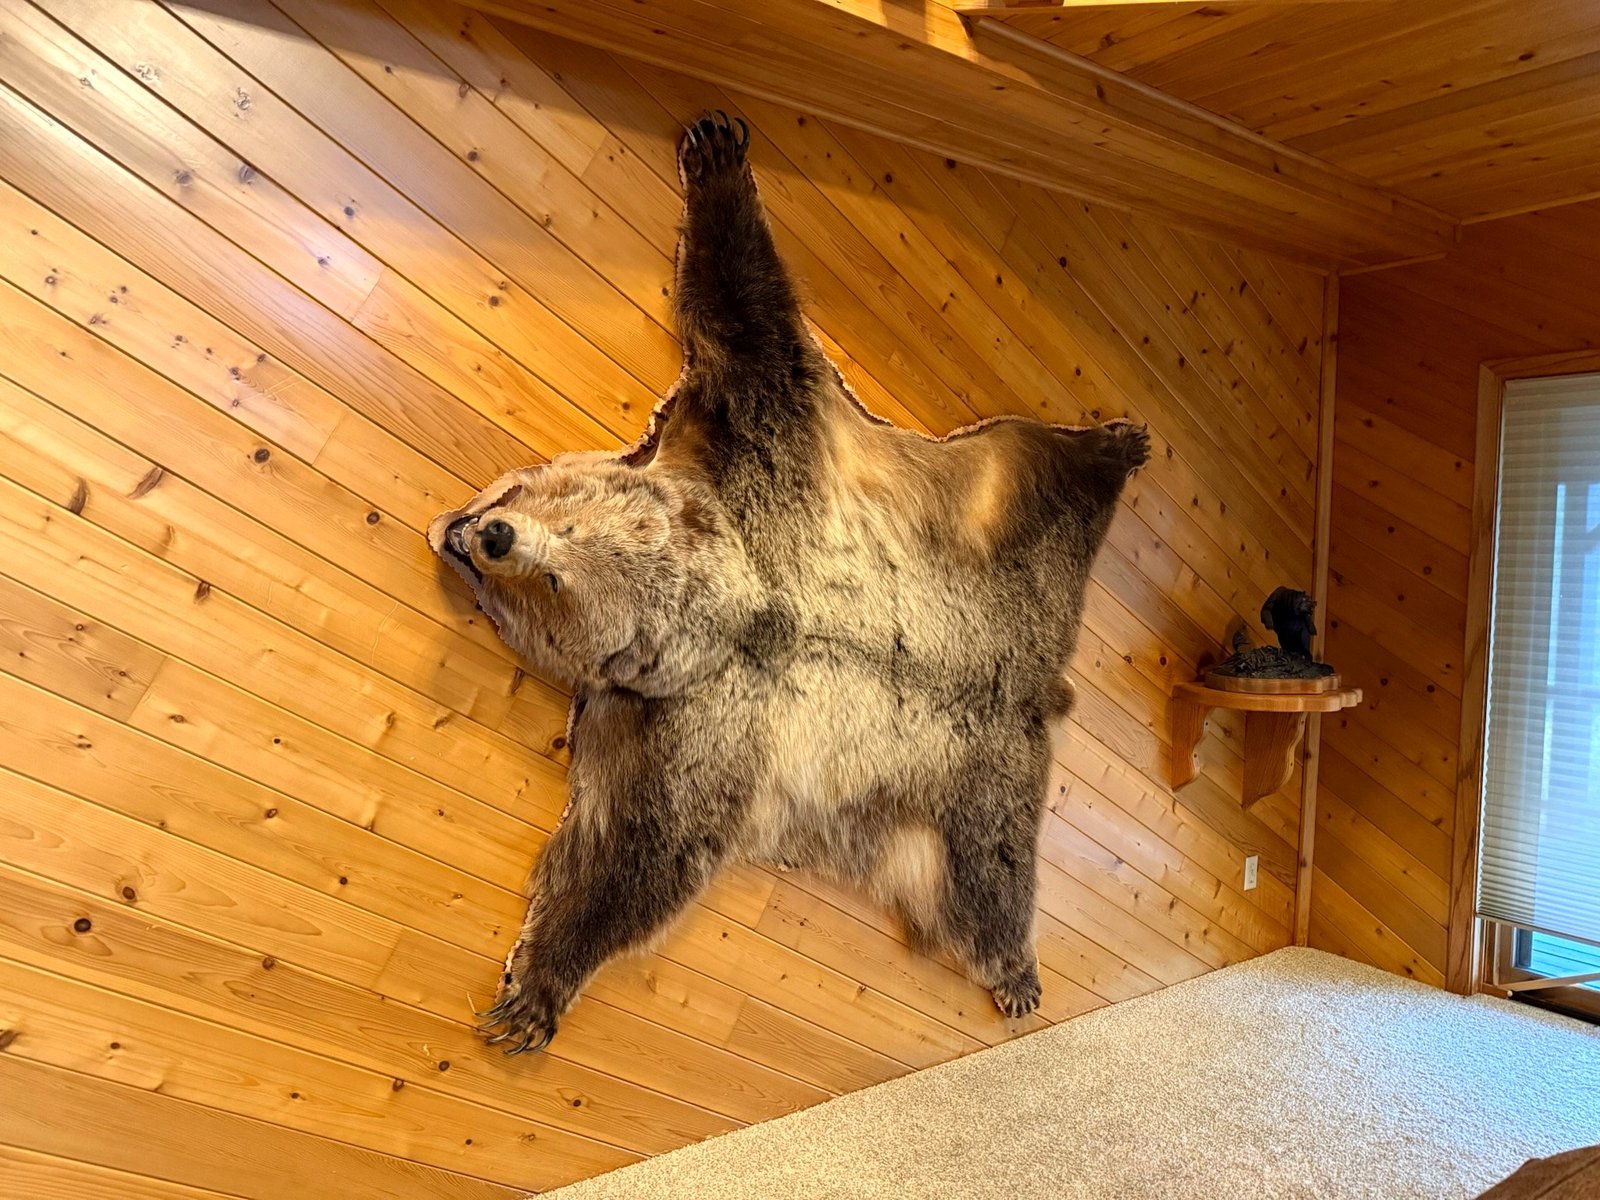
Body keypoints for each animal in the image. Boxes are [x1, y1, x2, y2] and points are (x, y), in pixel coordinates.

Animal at [428, 112, 1150, 1054]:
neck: (736, 605)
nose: (493, 535)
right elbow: (754, 334)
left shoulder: (697, 720)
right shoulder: (747, 480)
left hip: (965, 772)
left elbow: (638, 852)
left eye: (557, 572)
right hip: (998, 573)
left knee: (983, 888)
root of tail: (1045, 689)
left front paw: (532, 991)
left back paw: (1018, 974)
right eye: (561, 542)